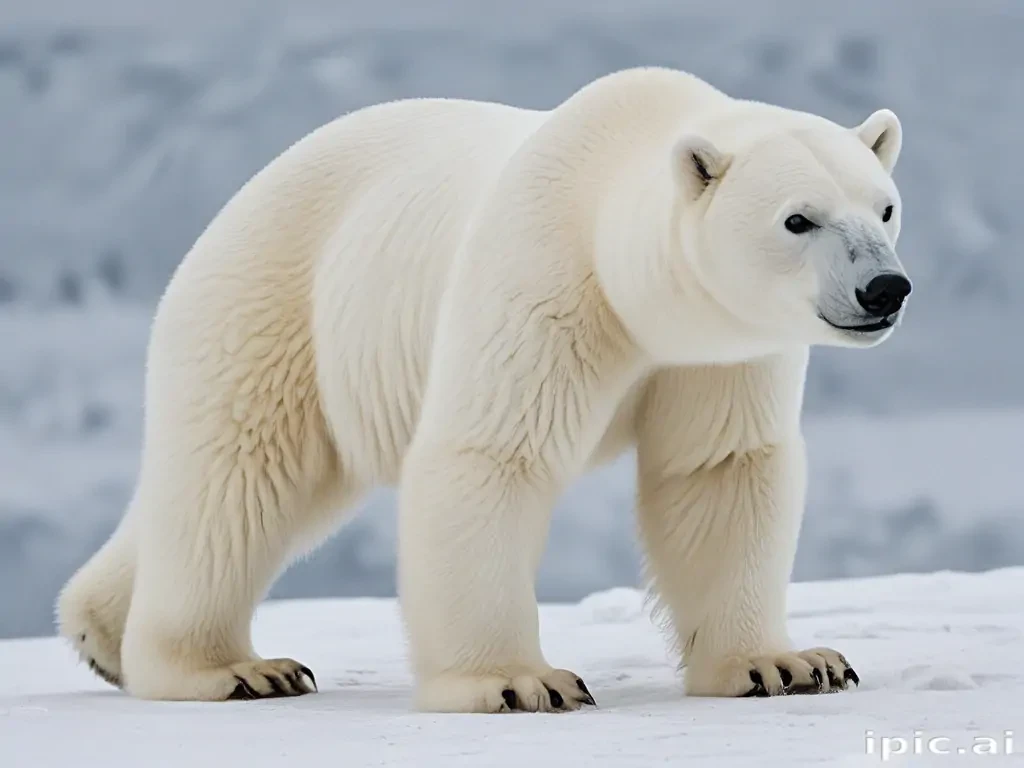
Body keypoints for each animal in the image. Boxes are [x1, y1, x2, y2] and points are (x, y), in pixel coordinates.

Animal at [56, 66, 912, 712]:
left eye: (885, 207)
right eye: (798, 220)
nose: (885, 288)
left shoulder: (720, 351)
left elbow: (720, 472)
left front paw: (788, 664)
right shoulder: (544, 277)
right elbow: (495, 453)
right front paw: (519, 683)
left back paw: (101, 634)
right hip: (276, 303)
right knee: (238, 479)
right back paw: (231, 668)